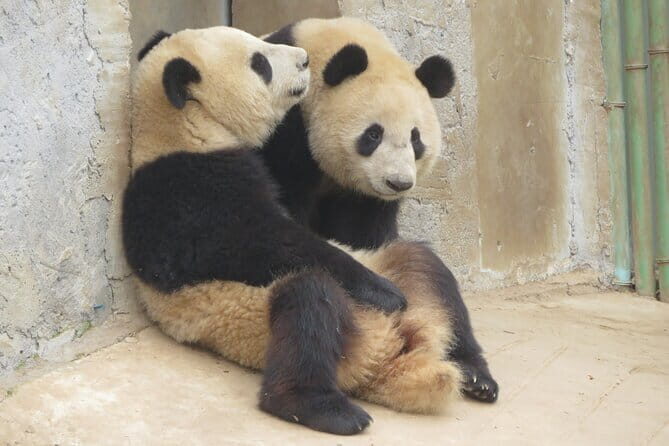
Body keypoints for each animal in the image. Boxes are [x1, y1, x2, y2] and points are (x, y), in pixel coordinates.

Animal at [122, 26, 462, 436]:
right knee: (308, 305)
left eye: (416, 139)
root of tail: (386, 356)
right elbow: (254, 240)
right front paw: (384, 293)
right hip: (251, 318)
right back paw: (325, 409)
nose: (303, 61)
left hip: (392, 266)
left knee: (424, 262)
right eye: (260, 63)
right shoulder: (189, 189)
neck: (182, 126)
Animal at [261, 17, 499, 402]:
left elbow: (368, 232)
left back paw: (476, 376)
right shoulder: (285, 129)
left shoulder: (366, 197)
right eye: (373, 134)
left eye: (416, 139)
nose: (398, 182)